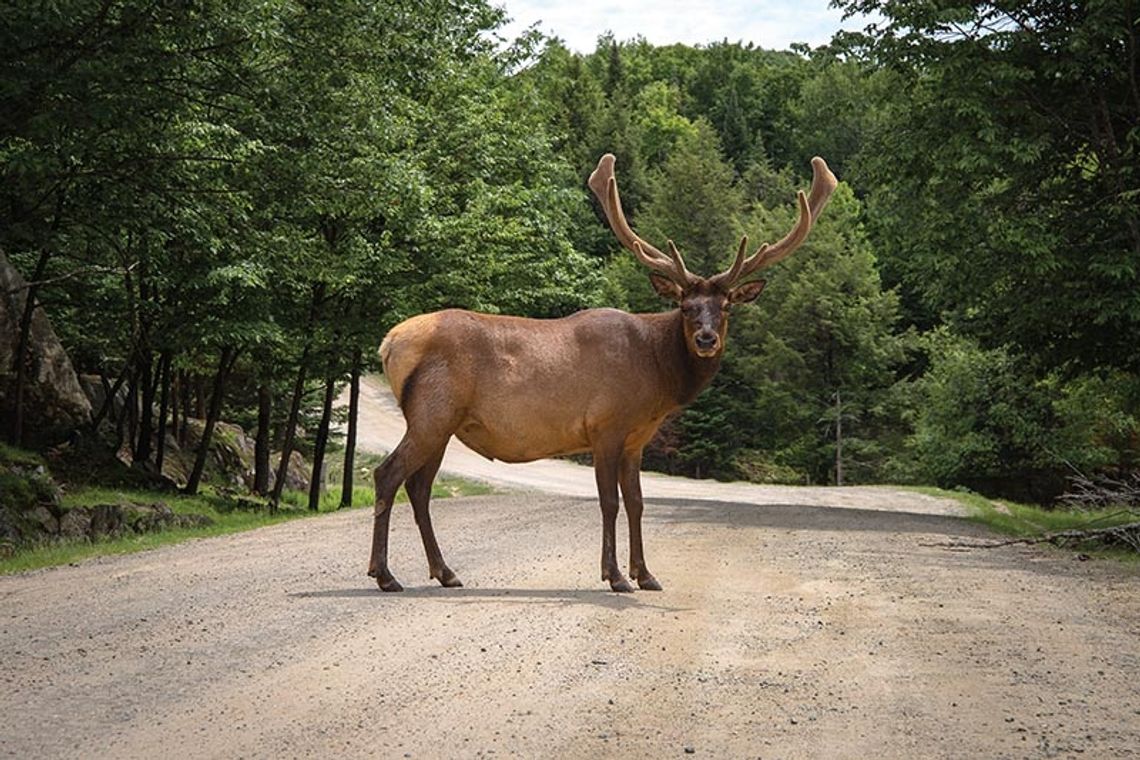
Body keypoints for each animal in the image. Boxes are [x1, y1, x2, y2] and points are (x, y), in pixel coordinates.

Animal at [367, 156, 839, 592]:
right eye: (685, 306)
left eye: (725, 307)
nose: (706, 339)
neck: (657, 376)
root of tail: (389, 342)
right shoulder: (605, 425)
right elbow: (609, 502)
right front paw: (615, 576)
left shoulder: (637, 439)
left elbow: (637, 502)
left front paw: (646, 574)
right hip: (432, 412)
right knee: (388, 474)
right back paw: (385, 574)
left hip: (442, 423)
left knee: (419, 487)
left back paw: (445, 572)